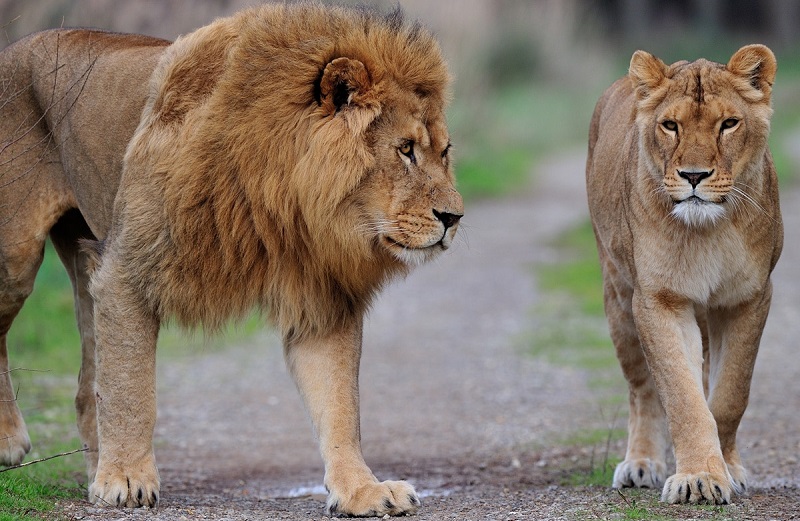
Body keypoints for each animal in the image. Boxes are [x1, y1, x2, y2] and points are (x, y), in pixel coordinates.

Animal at [0, 4, 462, 516]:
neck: (283, 199)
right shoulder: (127, 270)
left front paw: (362, 490)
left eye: (444, 153)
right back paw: (12, 442)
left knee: (87, 388)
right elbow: (132, 390)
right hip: (16, 257)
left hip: (85, 262)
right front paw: (125, 480)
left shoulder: (323, 302)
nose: (454, 217)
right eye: (405, 150)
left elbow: (341, 405)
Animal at [586, 45, 782, 504]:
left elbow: (729, 394)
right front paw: (698, 478)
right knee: (642, 389)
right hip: (618, 299)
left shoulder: (747, 298)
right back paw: (641, 464)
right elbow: (682, 396)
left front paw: (726, 470)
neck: (709, 230)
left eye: (728, 124)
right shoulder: (660, 299)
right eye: (670, 126)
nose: (694, 176)